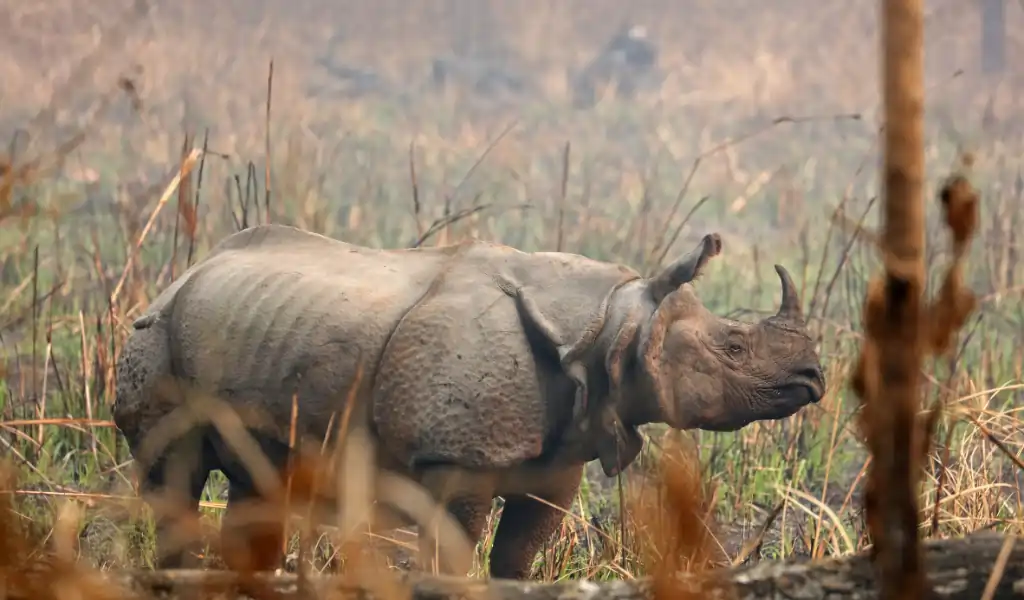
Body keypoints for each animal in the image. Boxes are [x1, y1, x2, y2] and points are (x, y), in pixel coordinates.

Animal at [112, 224, 825, 579]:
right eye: (734, 347)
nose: (814, 377)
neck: (612, 322)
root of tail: (180, 277)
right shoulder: (453, 456)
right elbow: (454, 556)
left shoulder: (558, 461)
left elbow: (517, 557)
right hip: (155, 335)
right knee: (175, 476)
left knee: (259, 483)